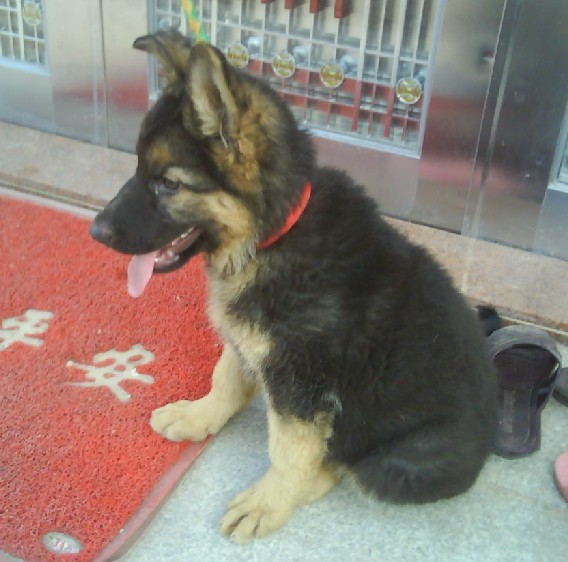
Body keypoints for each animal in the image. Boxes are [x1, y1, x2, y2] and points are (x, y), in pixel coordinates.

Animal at [90, 30, 497, 543]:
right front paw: (200, 415)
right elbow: (226, 378)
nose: (95, 231)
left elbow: (289, 450)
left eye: (168, 184)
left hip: (393, 460)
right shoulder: (249, 341)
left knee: (339, 465)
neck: (269, 236)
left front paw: (269, 501)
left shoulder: (300, 384)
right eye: (140, 169)